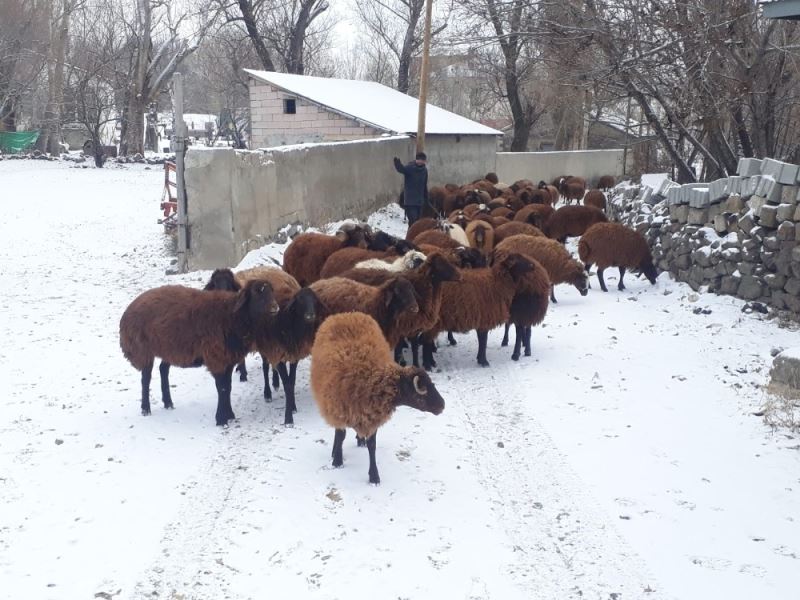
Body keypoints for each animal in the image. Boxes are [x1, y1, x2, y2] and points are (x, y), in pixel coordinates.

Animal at [310, 312, 444, 486]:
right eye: (423, 390)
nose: (442, 405)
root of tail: (346, 314)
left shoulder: (372, 416)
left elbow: (372, 445)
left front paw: (374, 476)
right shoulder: (338, 407)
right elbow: (340, 435)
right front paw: (337, 461)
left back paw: (359, 440)